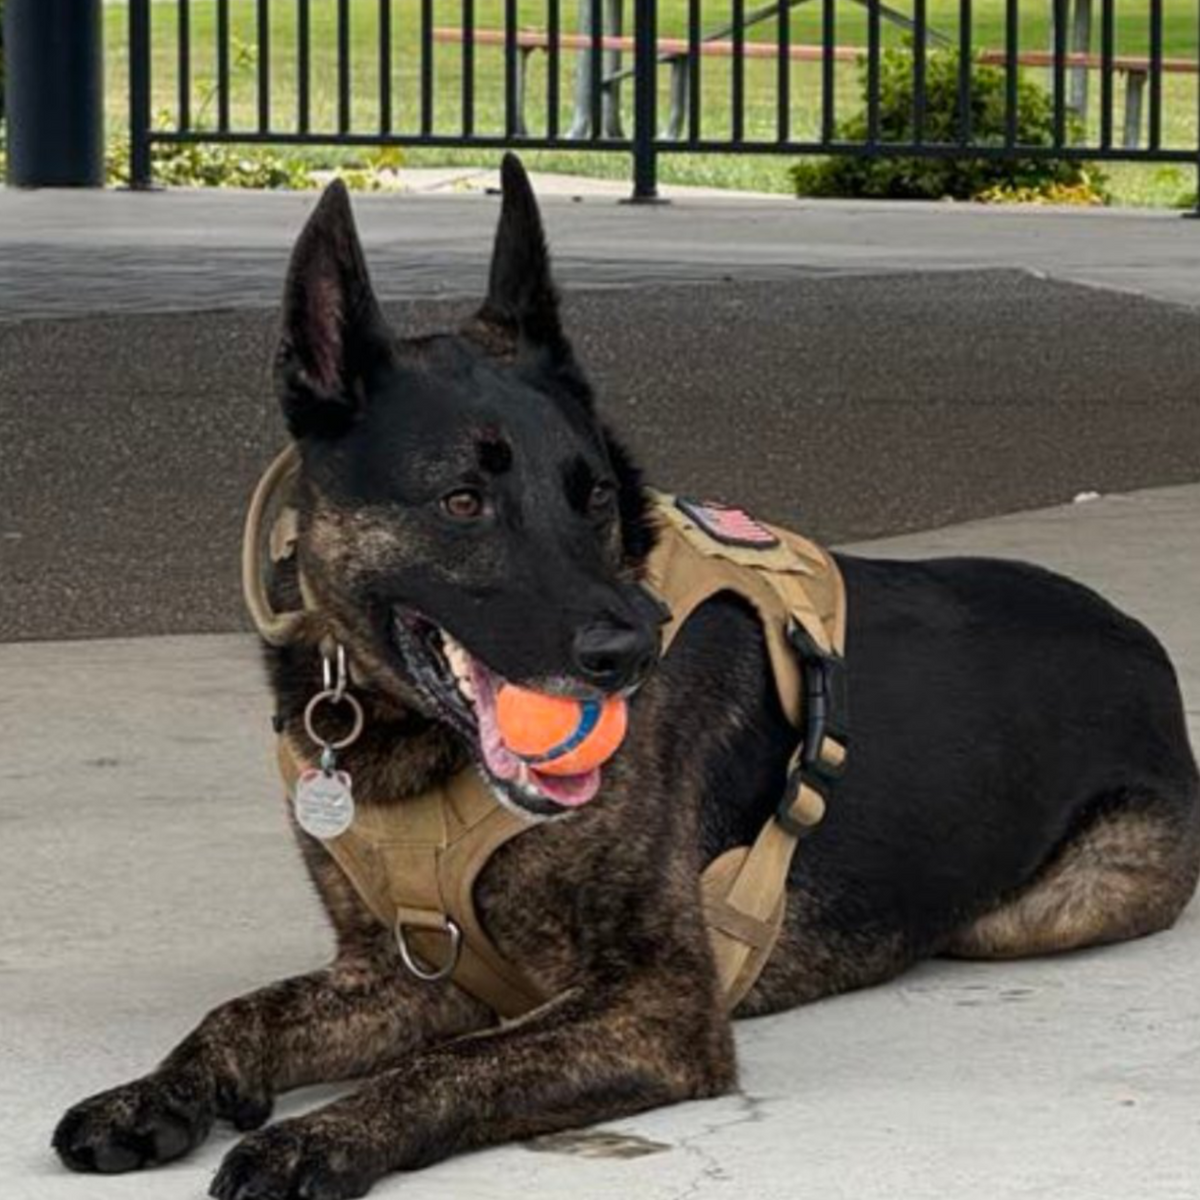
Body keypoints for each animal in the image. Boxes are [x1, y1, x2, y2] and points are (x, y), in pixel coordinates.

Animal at [54, 159, 1200, 1200]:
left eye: (593, 493)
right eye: (463, 501)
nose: (629, 652)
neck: (409, 744)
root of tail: (1144, 640)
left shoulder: (653, 1008)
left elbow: (457, 1064)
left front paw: (320, 1137)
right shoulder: (400, 973)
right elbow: (243, 1009)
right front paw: (157, 1092)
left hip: (1040, 911)